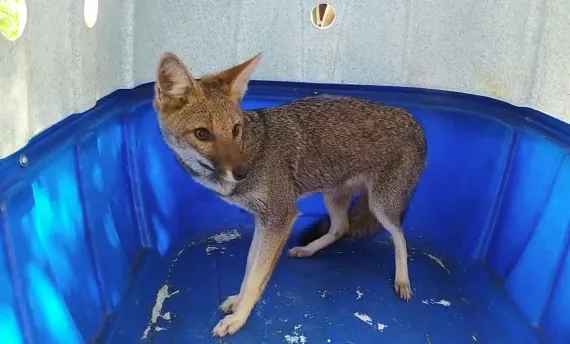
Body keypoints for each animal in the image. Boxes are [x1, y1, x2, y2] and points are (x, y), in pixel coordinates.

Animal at [152, 52, 426, 338]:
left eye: (235, 129)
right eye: (202, 134)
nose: (242, 172)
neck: (252, 147)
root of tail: (412, 118)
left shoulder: (281, 217)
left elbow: (256, 277)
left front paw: (238, 319)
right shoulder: (264, 221)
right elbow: (250, 268)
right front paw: (238, 301)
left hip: (382, 206)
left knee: (399, 237)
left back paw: (402, 280)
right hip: (333, 197)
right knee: (341, 228)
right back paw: (307, 250)